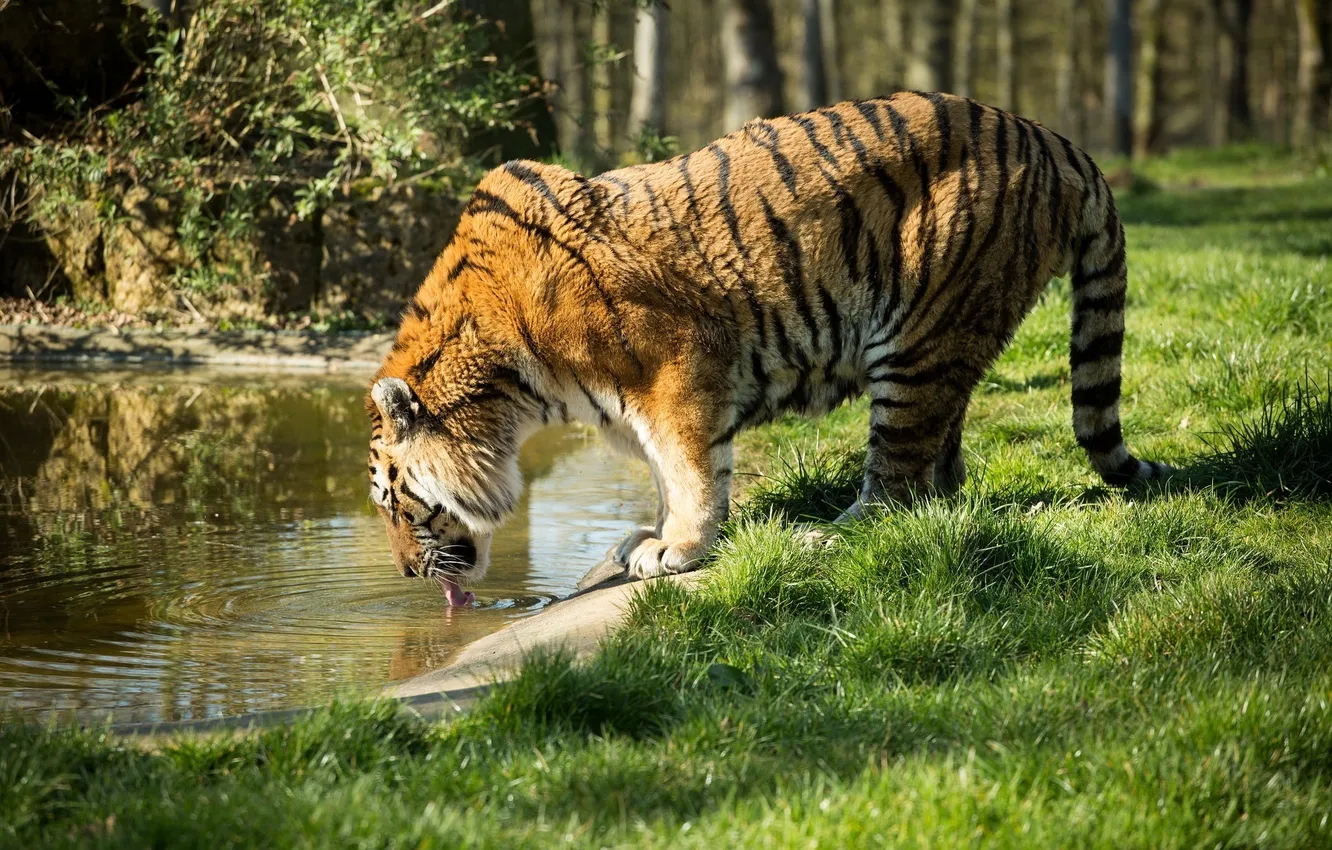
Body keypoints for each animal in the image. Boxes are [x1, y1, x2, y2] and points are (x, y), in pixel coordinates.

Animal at [366, 91, 1168, 605]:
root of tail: (1051, 138)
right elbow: (663, 473)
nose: (404, 575)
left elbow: (690, 469)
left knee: (900, 476)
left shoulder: (679, 370)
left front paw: (679, 549)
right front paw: (649, 537)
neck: (509, 391)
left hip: (918, 339)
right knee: (943, 466)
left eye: (397, 504)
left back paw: (836, 532)